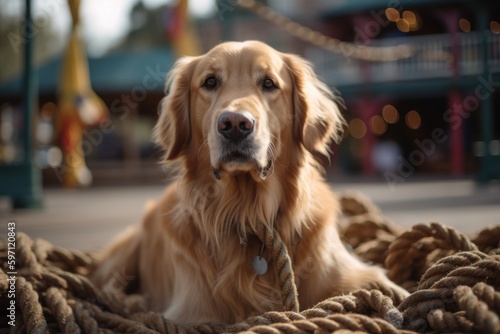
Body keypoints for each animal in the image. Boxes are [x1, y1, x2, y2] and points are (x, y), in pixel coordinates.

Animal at [93, 40, 406, 324]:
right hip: (125, 250)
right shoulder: (194, 313)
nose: (234, 124)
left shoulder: (355, 274)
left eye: (269, 83)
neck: (249, 211)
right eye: (210, 82)